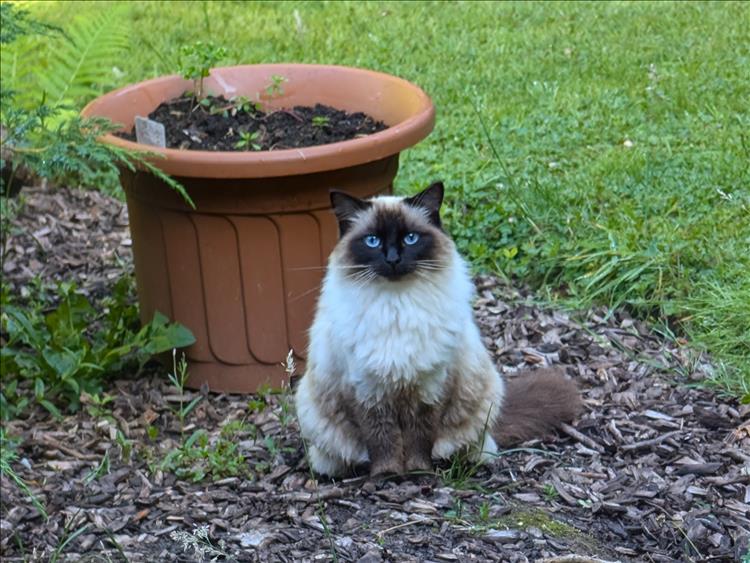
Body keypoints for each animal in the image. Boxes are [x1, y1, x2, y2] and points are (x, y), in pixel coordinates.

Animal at [296, 182, 580, 476]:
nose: (393, 258)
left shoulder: (431, 386)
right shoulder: (367, 391)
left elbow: (420, 436)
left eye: (410, 238)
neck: (397, 305)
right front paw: (387, 475)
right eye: (372, 241)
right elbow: (382, 440)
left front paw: (418, 472)